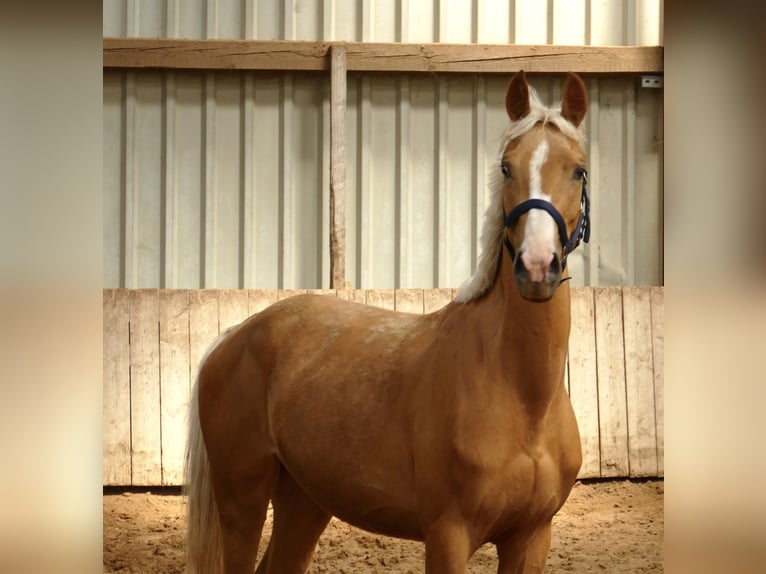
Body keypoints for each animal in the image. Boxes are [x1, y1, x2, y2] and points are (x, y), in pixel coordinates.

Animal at [185, 70, 590, 574]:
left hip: (305, 501)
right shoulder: (447, 535)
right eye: (505, 168)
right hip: (243, 501)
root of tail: (233, 337)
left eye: (579, 169)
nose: (536, 267)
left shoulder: (531, 537)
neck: (522, 397)